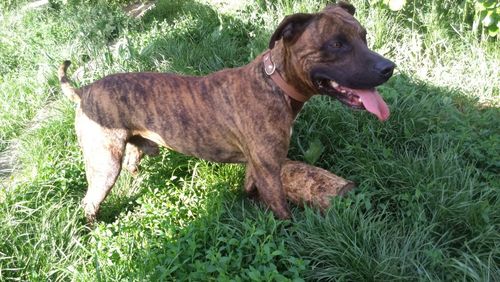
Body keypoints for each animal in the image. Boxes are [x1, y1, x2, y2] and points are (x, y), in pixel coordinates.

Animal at [58, 1, 394, 224]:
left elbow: (251, 185)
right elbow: (281, 208)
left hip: (131, 148)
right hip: (104, 165)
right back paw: (94, 226)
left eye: (363, 36)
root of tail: (84, 91)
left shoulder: (259, 165)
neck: (275, 83)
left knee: (131, 163)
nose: (388, 68)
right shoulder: (270, 170)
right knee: (90, 200)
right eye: (336, 44)